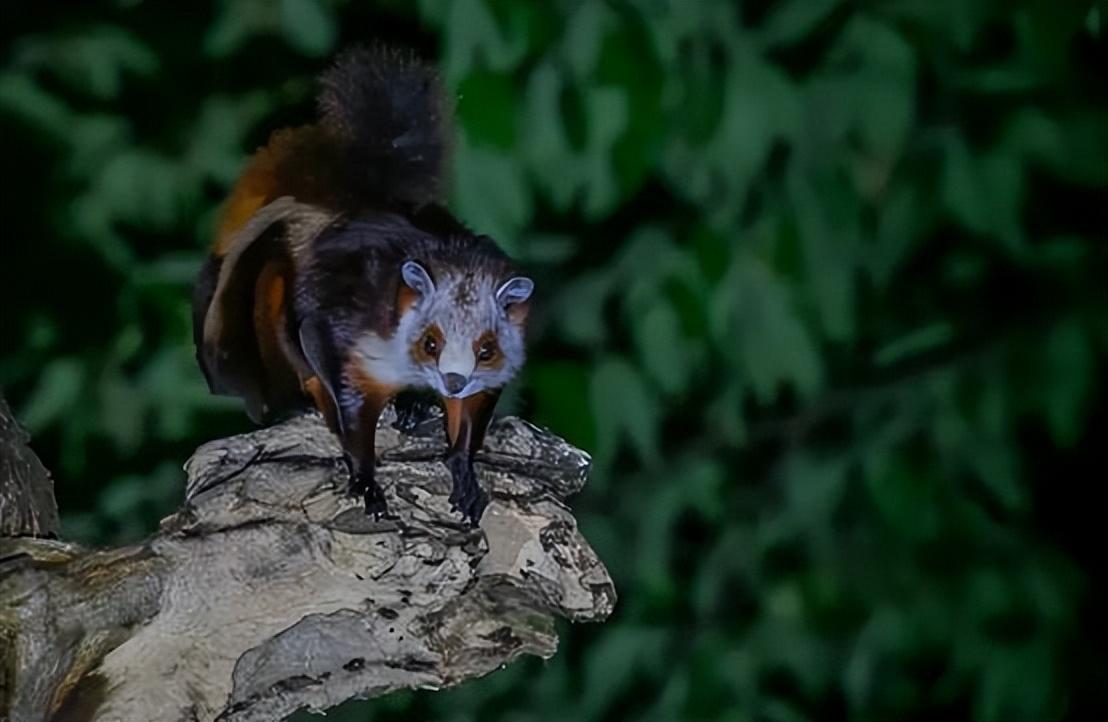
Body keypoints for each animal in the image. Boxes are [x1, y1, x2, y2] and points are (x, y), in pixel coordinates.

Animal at [192, 47, 534, 527]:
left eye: (487, 349)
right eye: (429, 341)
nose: (451, 379)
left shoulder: (487, 375)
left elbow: (470, 421)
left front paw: (464, 474)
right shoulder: (344, 337)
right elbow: (349, 406)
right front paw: (367, 480)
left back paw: (413, 407)